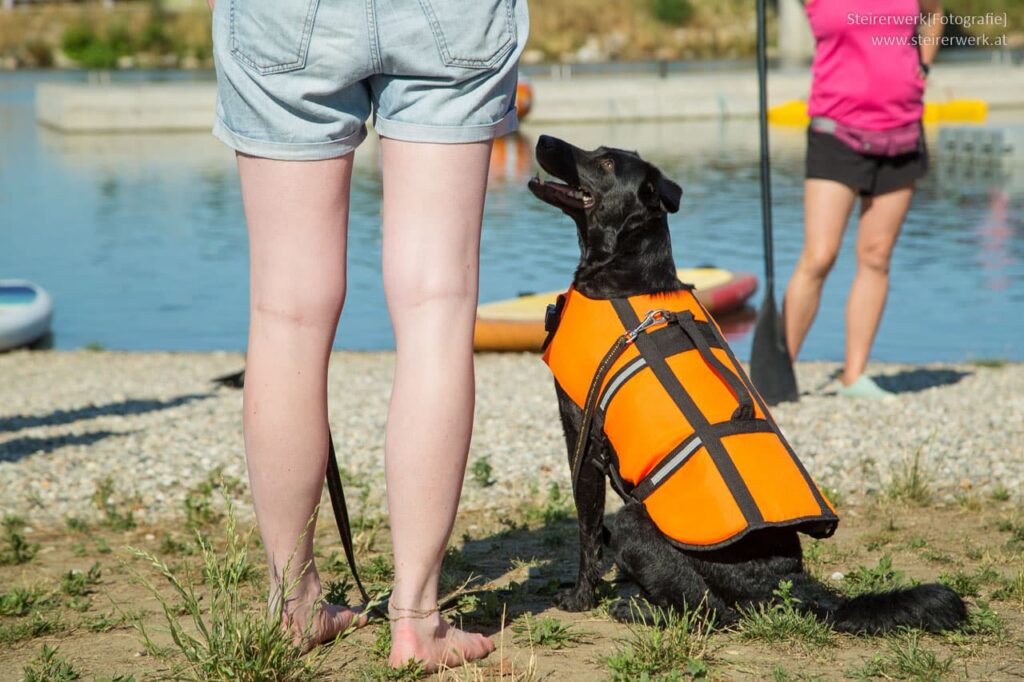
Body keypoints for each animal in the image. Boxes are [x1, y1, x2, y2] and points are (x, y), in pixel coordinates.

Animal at [528, 134, 966, 630]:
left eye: (603, 163)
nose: (542, 139)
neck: (626, 273)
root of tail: (791, 583)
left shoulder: (582, 443)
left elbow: (585, 532)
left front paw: (580, 598)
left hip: (631, 525)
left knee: (707, 610)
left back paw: (636, 608)